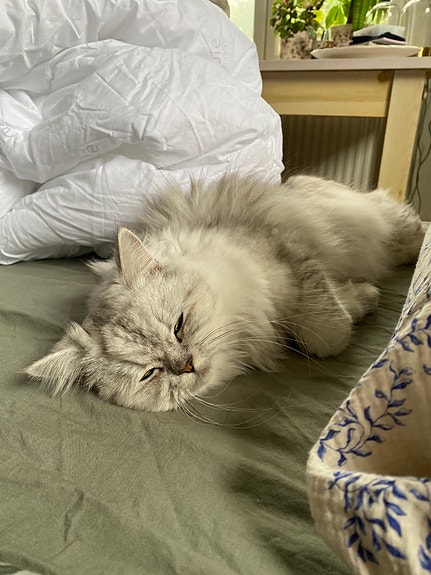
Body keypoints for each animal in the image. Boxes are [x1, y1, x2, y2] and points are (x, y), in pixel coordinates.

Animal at [26, 175, 424, 412]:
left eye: (178, 326)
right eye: (150, 373)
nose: (186, 365)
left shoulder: (292, 257)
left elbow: (327, 333)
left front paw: (365, 298)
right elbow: (325, 330)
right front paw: (363, 298)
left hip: (377, 220)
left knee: (412, 226)